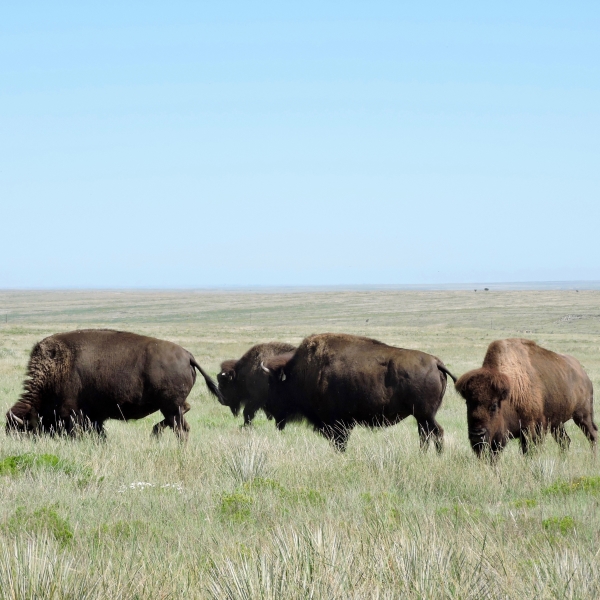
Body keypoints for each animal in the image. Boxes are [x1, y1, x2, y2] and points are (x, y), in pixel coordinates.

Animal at [4, 328, 225, 440]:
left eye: (22, 429)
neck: (56, 369)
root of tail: (188, 356)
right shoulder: (94, 418)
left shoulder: (73, 415)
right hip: (172, 407)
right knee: (181, 419)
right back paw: (155, 433)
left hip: (170, 407)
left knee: (180, 429)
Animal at [258, 332, 454, 450]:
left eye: (273, 384)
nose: (267, 408)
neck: (301, 373)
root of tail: (435, 362)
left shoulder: (337, 424)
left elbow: (340, 443)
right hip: (421, 417)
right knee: (426, 435)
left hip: (425, 415)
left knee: (436, 433)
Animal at [454, 338, 596, 454]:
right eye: (468, 403)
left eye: (494, 405)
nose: (477, 435)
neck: (511, 392)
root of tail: (585, 376)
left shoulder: (532, 429)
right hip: (557, 423)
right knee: (565, 441)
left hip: (583, 415)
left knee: (592, 435)